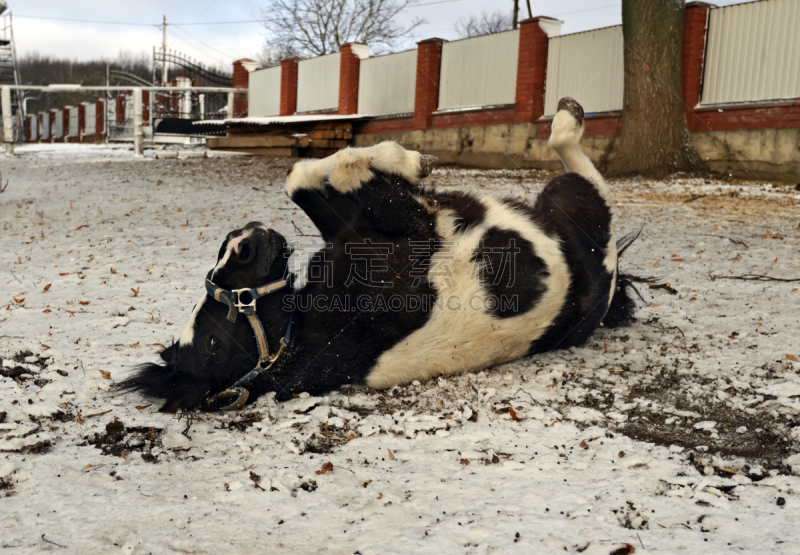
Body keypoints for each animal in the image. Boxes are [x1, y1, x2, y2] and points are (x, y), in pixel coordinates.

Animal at [120, 96, 632, 412]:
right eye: (213, 343)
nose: (239, 241)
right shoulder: (407, 223)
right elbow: (321, 170)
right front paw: (413, 160)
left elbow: (300, 173)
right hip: (574, 207)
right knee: (581, 169)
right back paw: (568, 117)